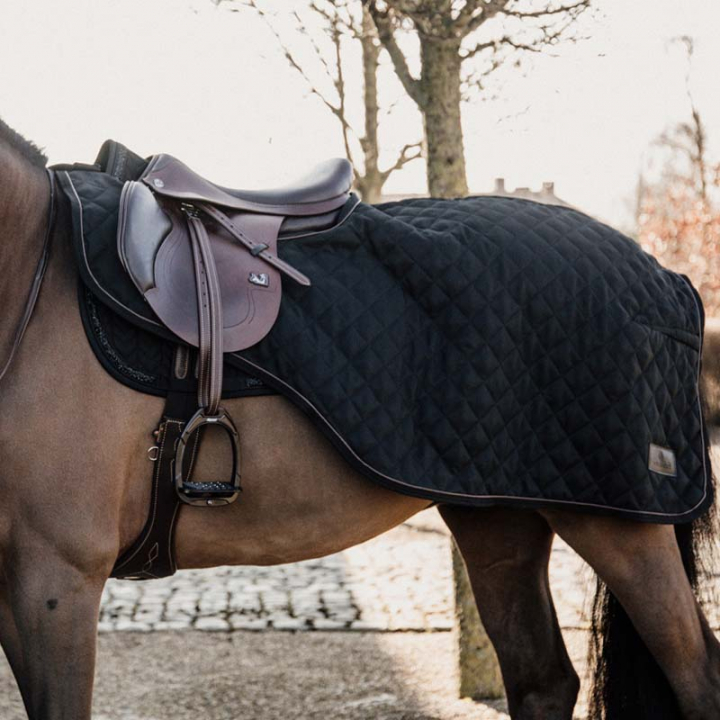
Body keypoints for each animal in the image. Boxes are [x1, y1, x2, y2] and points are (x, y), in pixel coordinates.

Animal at [0, 117, 719, 720]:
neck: (34, 277)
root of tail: (669, 280)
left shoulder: (58, 578)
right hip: (500, 518)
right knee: (543, 681)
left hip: (620, 527)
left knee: (697, 676)